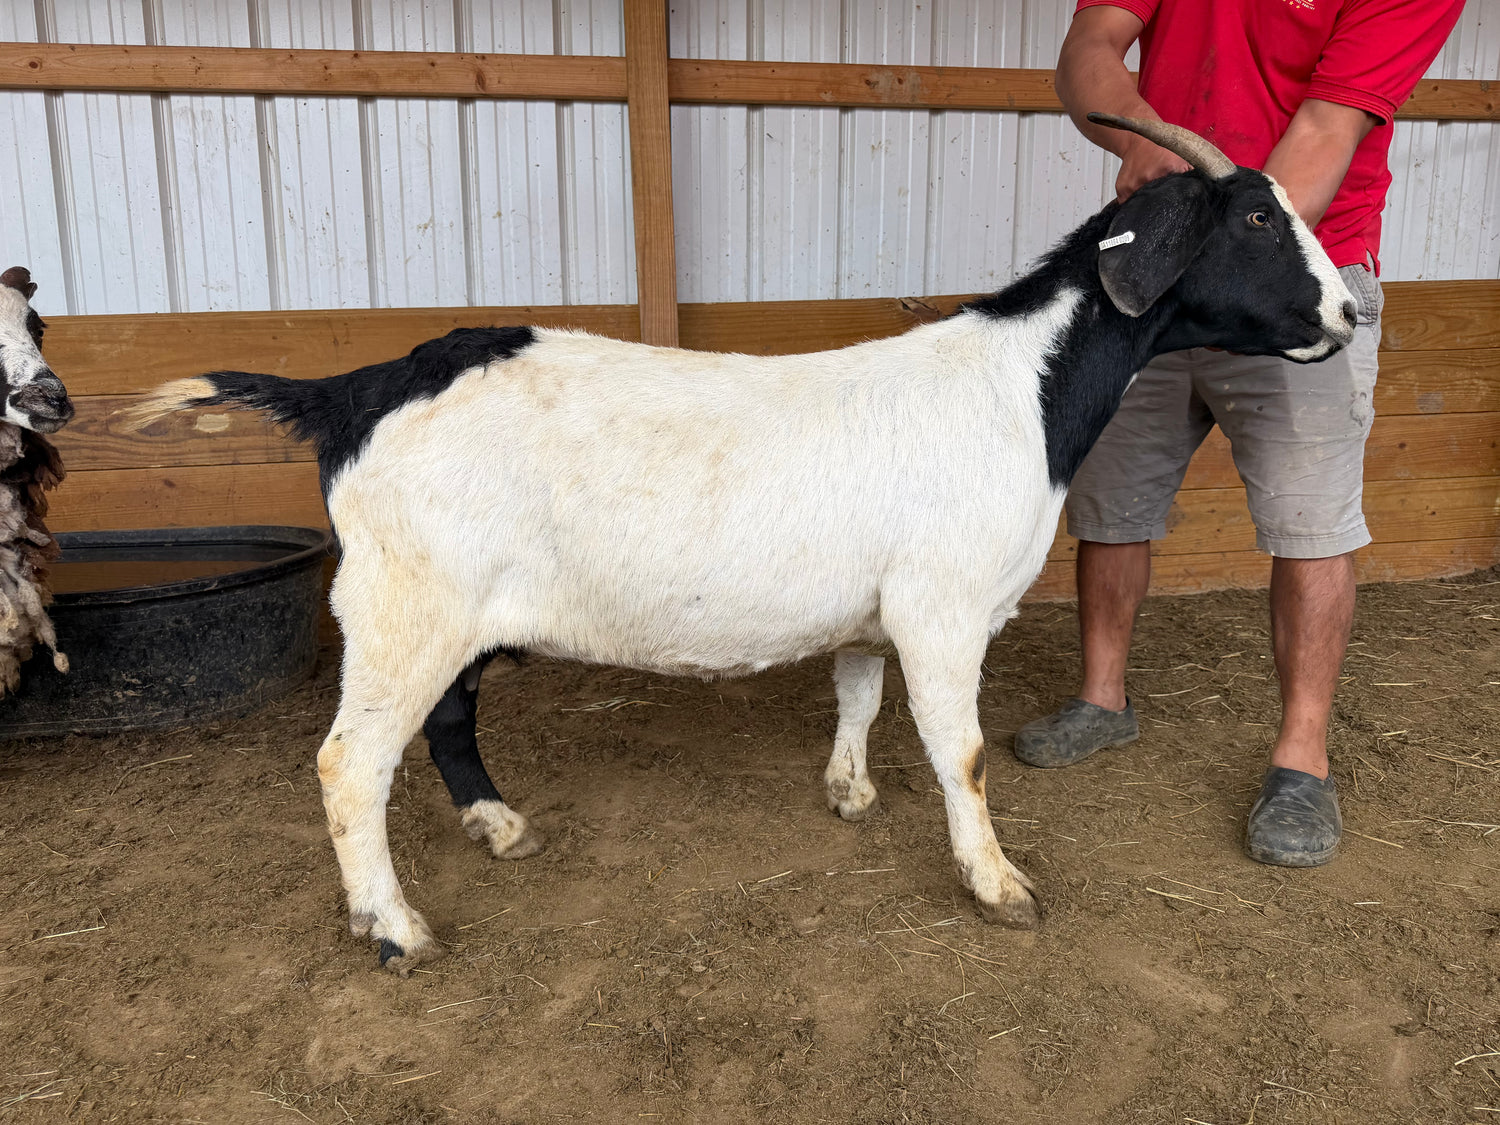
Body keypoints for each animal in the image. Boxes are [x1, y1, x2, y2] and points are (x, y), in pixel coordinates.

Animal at [125, 116, 1356, 974]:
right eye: (1254, 221)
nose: (1350, 315)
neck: (1021, 389)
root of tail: (351, 392)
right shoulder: (945, 606)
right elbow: (961, 753)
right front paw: (999, 885)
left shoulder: (879, 605)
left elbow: (858, 689)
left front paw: (850, 793)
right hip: (403, 603)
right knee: (349, 760)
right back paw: (393, 926)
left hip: (452, 612)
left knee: (448, 718)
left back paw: (497, 825)